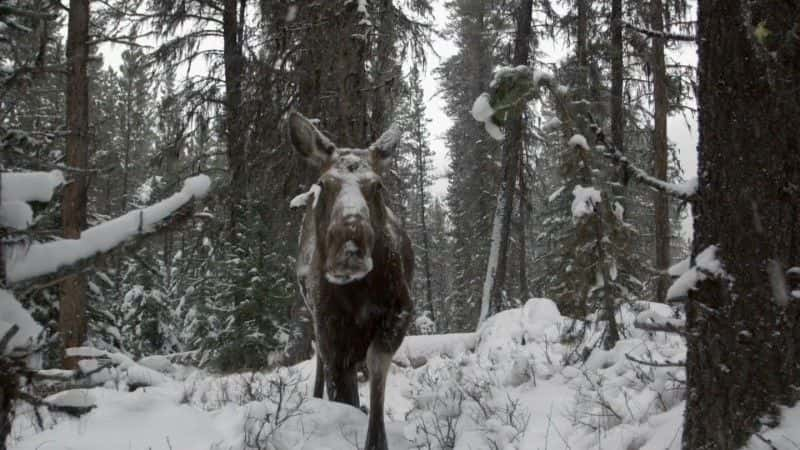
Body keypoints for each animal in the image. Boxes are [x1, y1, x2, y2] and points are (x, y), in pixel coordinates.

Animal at [288, 111, 412, 450]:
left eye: (378, 186)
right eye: (324, 183)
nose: (349, 248)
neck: (357, 293)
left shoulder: (401, 309)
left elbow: (376, 366)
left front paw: (376, 439)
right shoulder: (331, 330)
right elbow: (341, 391)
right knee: (320, 361)